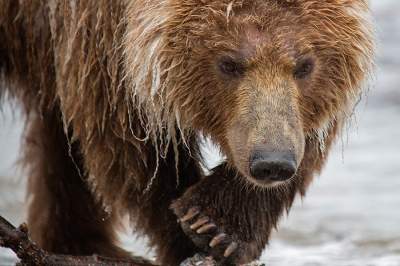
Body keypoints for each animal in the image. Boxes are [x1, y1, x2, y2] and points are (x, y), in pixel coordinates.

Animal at [0, 0, 376, 264]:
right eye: (229, 63)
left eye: (304, 65)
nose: (272, 162)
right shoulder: (97, 39)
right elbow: (128, 136)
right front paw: (187, 232)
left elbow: (314, 132)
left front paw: (219, 225)